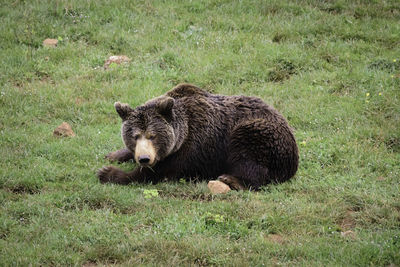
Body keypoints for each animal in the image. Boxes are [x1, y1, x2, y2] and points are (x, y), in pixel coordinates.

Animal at [96, 84, 296, 191]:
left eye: (152, 136)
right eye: (135, 136)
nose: (144, 158)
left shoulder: (193, 149)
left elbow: (160, 172)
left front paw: (108, 173)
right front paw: (113, 155)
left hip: (257, 134)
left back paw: (231, 179)